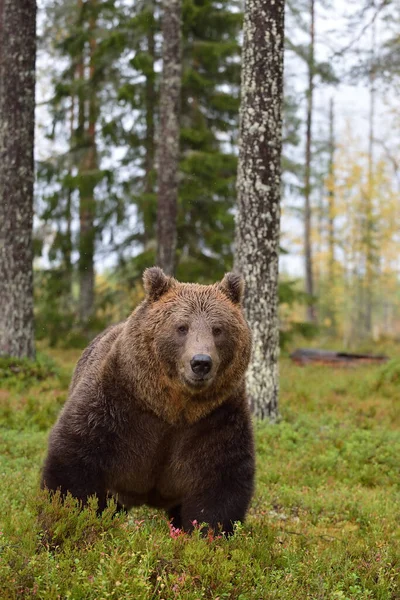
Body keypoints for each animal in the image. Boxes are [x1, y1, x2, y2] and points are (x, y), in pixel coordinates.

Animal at [42, 268, 255, 536]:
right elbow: (74, 459)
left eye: (218, 329)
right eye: (181, 327)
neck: (172, 407)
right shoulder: (117, 403)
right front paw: (67, 515)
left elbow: (221, 479)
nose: (201, 362)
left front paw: (208, 533)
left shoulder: (216, 417)